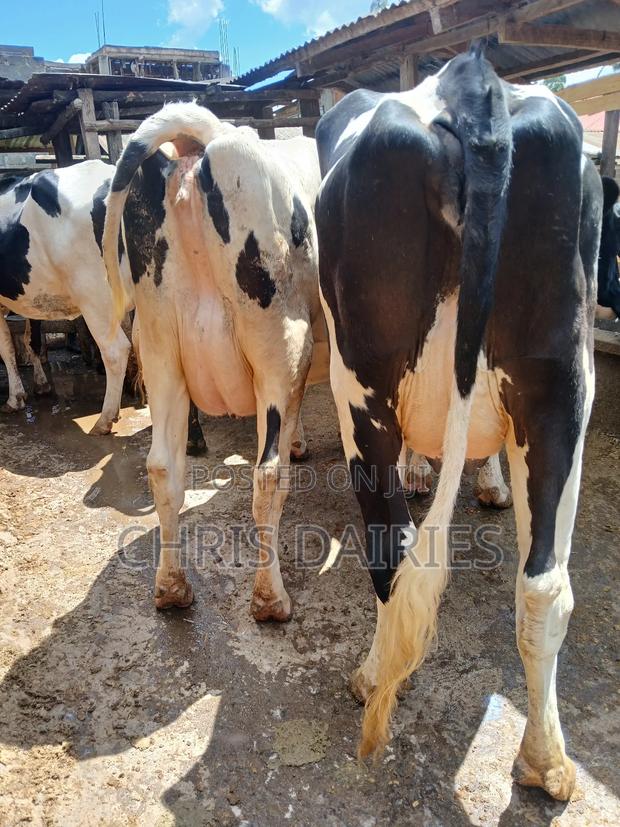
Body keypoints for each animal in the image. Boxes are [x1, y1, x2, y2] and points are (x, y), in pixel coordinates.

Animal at [0, 163, 133, 433]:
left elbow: (6, 347)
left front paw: (14, 398)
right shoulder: (34, 298)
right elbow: (32, 341)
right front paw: (41, 385)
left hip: (94, 295)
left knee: (116, 351)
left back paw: (105, 419)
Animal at [102, 102, 327, 618]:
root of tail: (205, 143)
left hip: (161, 349)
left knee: (163, 468)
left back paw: (171, 588)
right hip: (282, 344)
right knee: (267, 476)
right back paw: (270, 599)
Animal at [315, 46, 601, 800]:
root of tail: (475, 86)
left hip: (362, 386)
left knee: (391, 550)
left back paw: (370, 677)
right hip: (562, 386)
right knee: (544, 586)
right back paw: (546, 760)